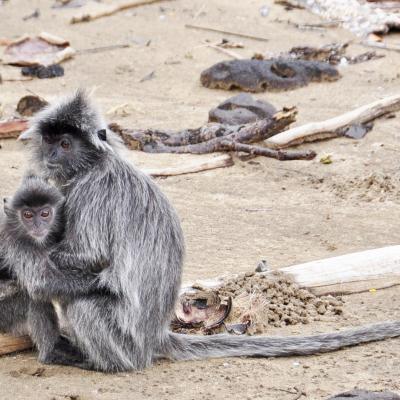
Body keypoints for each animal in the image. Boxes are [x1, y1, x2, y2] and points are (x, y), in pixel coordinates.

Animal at [18, 90, 400, 372]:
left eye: (66, 145)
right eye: (50, 141)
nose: (52, 156)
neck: (95, 164)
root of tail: (156, 337)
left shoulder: (91, 192)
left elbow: (90, 255)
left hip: (124, 337)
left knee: (83, 305)